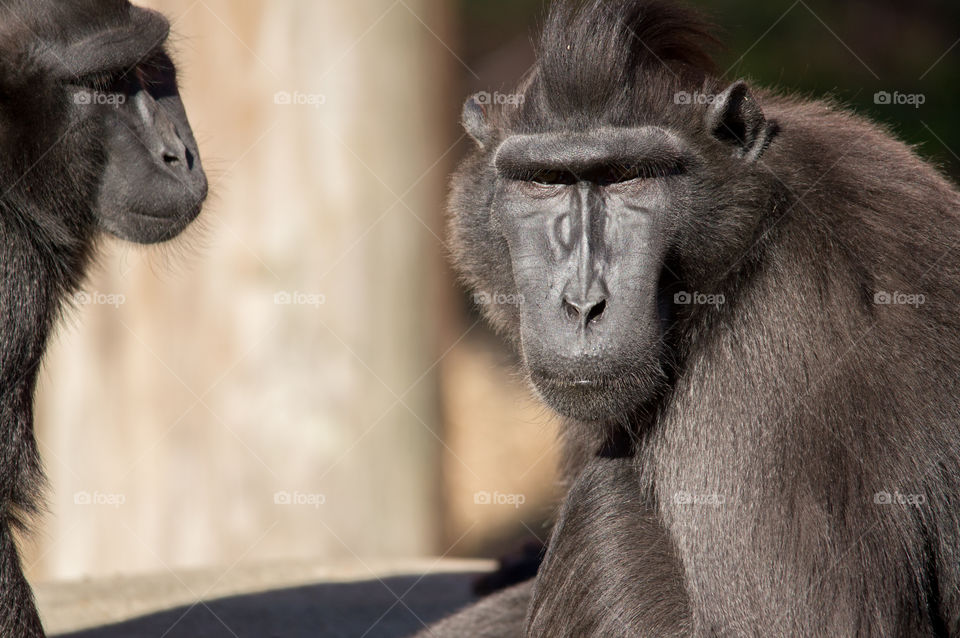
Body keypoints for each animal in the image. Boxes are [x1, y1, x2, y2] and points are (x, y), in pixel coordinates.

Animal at [417, 0, 960, 635]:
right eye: (544, 181)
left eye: (629, 177)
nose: (582, 305)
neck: (748, 240)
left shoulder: (774, 364)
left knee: (606, 502)